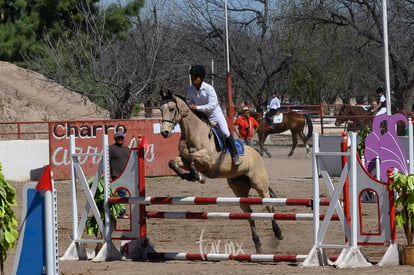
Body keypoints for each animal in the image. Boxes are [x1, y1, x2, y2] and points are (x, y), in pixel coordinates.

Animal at [160, 90, 284, 254]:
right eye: (160, 109)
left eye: (172, 108)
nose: (164, 132)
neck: (192, 132)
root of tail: (256, 152)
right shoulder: (184, 160)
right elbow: (174, 162)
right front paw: (190, 175)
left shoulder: (208, 159)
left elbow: (192, 158)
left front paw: (197, 176)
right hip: (239, 189)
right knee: (248, 212)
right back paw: (258, 244)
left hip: (259, 184)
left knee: (269, 206)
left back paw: (278, 234)